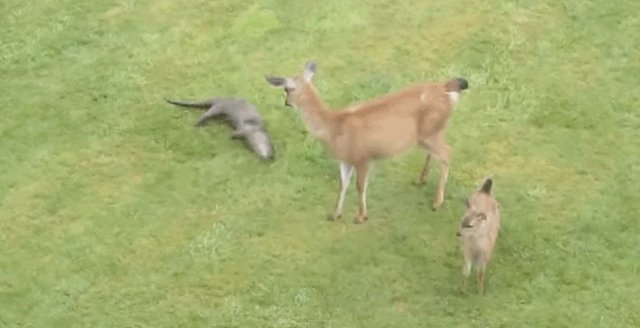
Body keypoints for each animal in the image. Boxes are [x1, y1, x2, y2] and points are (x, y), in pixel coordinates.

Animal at [262, 60, 468, 224]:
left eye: (286, 89)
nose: (286, 102)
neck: (334, 127)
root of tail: (445, 88)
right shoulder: (345, 160)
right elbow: (342, 185)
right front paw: (335, 214)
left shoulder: (362, 158)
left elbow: (360, 187)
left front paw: (361, 217)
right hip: (429, 134)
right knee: (435, 154)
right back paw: (421, 180)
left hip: (430, 133)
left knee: (447, 153)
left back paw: (437, 202)